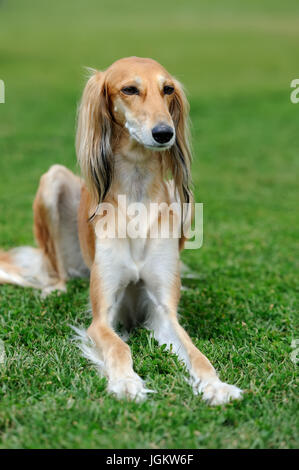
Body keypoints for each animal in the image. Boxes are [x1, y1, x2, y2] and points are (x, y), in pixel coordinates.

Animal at [0, 57, 243, 404]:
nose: (164, 133)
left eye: (167, 89)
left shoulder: (163, 310)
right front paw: (127, 381)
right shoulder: (103, 316)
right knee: (53, 269)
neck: (137, 192)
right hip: (52, 181)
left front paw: (215, 385)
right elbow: (118, 346)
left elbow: (196, 352)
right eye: (129, 89)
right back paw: (54, 287)